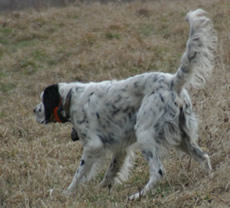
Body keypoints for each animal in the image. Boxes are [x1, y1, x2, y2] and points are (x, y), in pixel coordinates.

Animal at [33, 9, 217, 200]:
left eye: (42, 100)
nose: (34, 110)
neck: (72, 97)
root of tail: (173, 82)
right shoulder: (119, 148)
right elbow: (110, 172)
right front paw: (101, 190)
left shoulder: (92, 145)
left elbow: (79, 174)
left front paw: (66, 193)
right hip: (182, 137)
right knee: (204, 157)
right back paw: (209, 177)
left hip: (145, 134)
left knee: (158, 172)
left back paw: (137, 195)